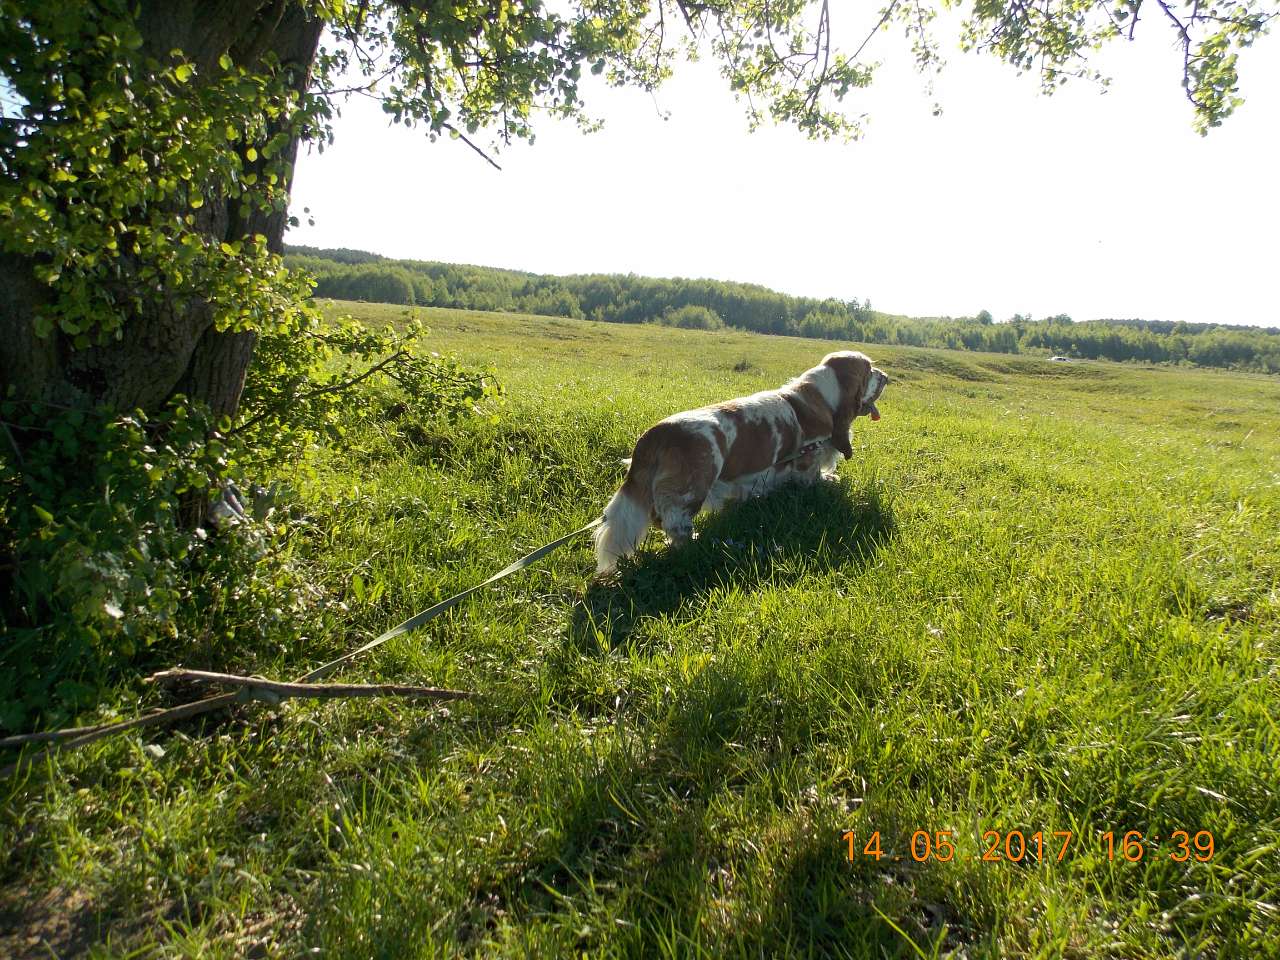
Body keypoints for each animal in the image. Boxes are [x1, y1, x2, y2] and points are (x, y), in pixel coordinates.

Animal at [591, 353, 885, 578]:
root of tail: (655, 434)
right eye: (869, 370)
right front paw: (827, 482)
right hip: (693, 488)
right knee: (674, 522)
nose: (886, 376)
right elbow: (811, 477)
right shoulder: (807, 460)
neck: (821, 395)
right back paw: (693, 543)